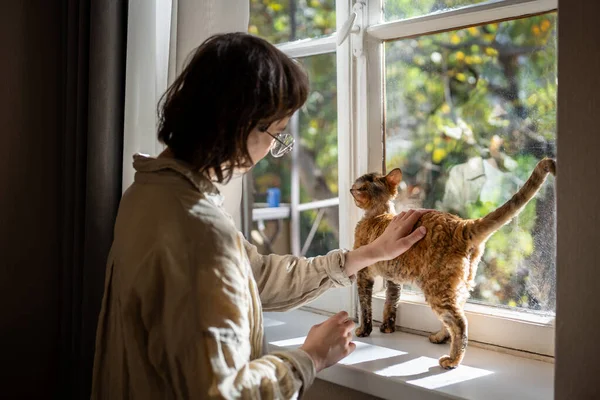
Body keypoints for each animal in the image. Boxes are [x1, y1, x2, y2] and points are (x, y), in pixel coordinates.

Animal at [352, 157, 556, 368]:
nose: (351, 189)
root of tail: (461, 224)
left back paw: (452, 360)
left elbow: (366, 307)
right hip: (460, 286)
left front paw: (363, 331)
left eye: (358, 188)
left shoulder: (363, 274)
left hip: (437, 290)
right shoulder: (394, 279)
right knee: (455, 316)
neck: (379, 215)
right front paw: (387, 328)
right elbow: (391, 304)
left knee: (459, 322)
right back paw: (439, 338)